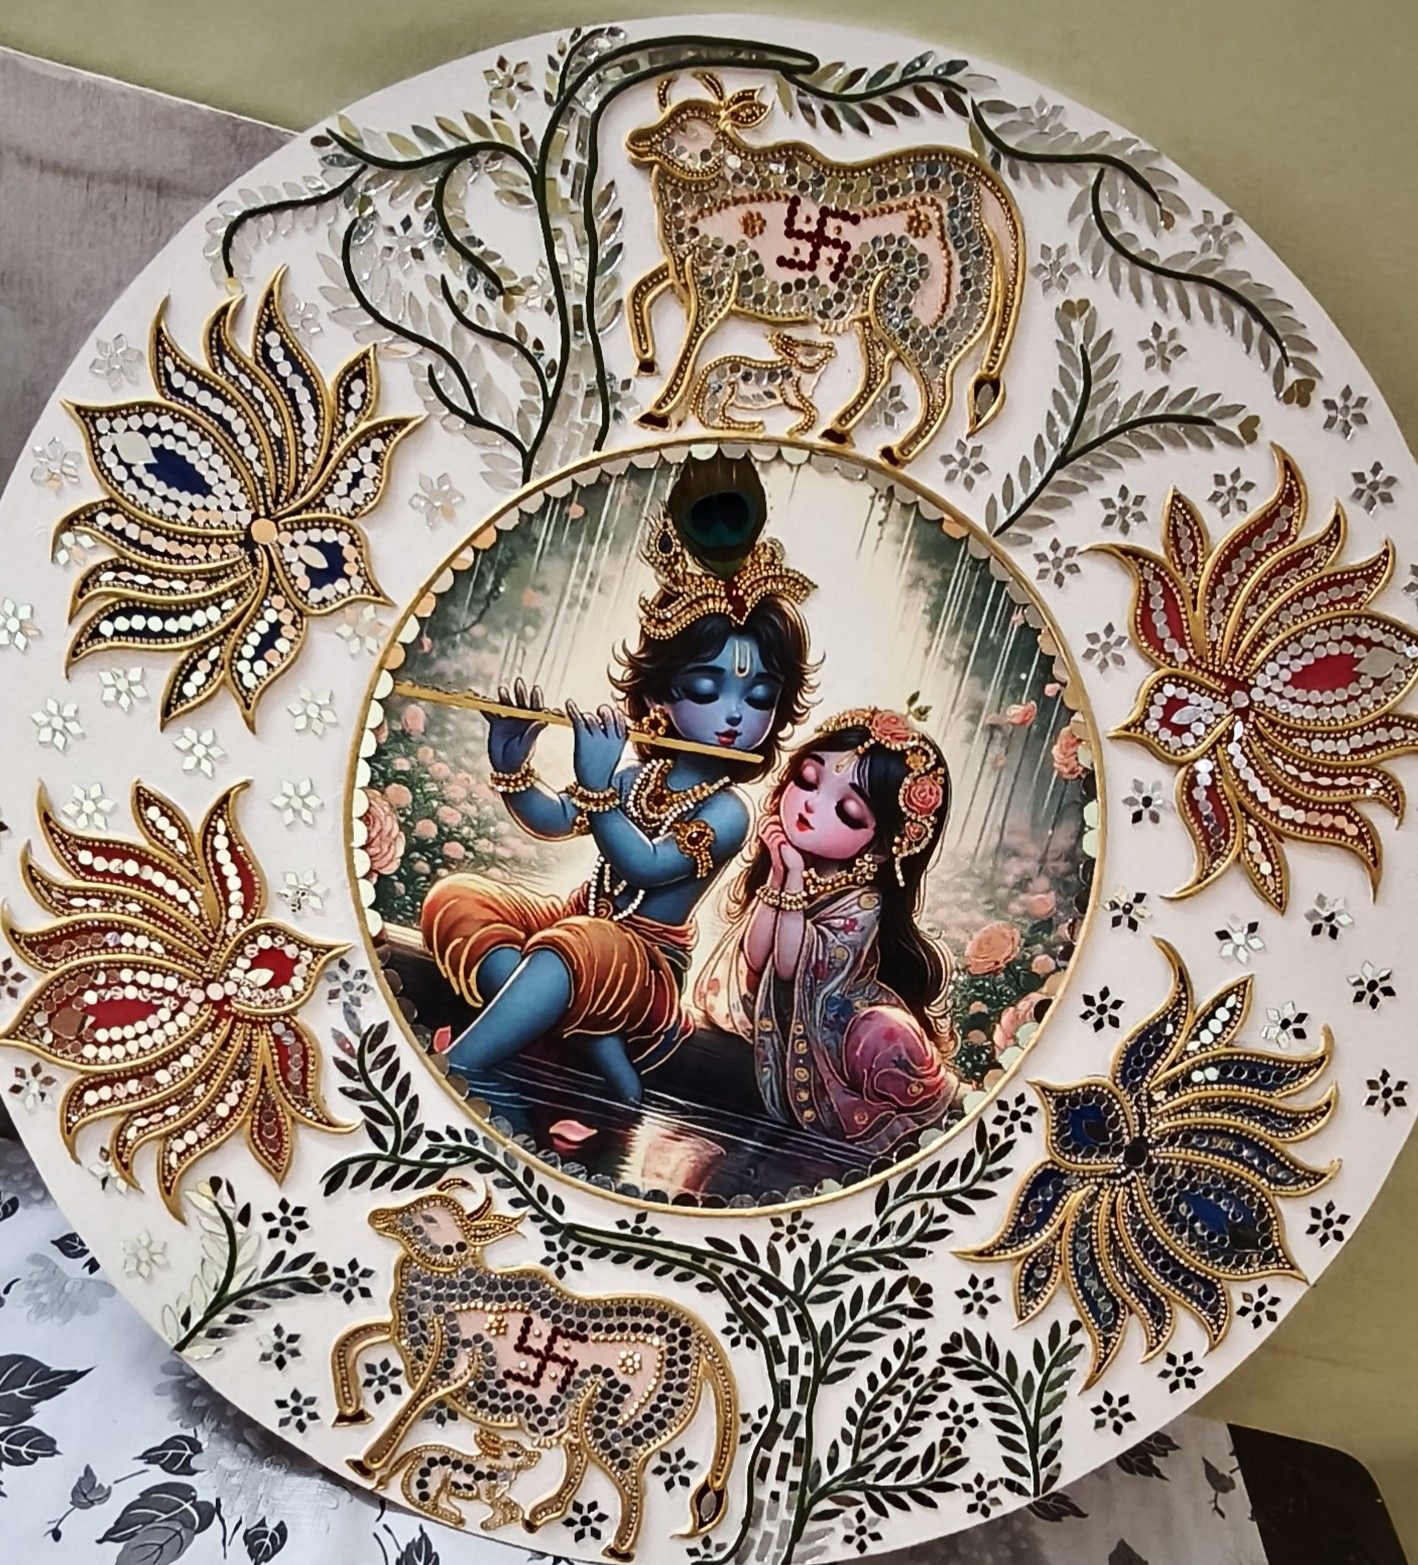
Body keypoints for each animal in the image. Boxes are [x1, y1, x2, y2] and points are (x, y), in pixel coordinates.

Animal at [330, 1178, 737, 1562]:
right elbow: (351, 1340)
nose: (379, 1216)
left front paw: (369, 1462)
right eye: (418, 1204)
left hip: (615, 1426)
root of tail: (701, 1341)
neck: (452, 1292)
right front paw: (351, 1410)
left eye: (431, 1218)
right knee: (579, 1463)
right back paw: (540, 1516)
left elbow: (410, 1406)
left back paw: (617, 1549)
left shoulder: (451, 1364)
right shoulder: (402, 1336)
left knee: (632, 1484)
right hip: (581, 1421)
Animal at [625, 71, 1024, 467]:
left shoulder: (717, 277)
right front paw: (646, 359)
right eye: (668, 115)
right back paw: (837, 431)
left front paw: (659, 411)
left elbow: (691, 342)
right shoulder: (683, 269)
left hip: (920, 321)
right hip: (873, 318)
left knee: (939, 391)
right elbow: (639, 292)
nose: (635, 140)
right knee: (880, 372)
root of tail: (981, 199)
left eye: (689, 128)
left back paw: (897, 452)